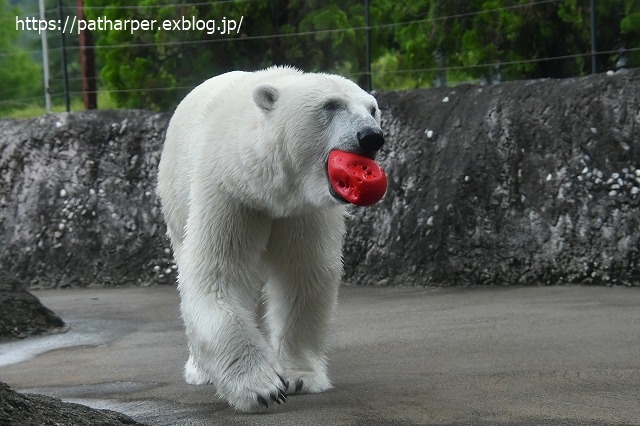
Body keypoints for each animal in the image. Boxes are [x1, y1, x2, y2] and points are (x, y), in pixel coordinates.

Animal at [158, 66, 388, 412]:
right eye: (331, 105)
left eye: (372, 108)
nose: (371, 137)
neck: (268, 189)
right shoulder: (229, 191)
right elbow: (217, 275)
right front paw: (261, 388)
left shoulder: (302, 212)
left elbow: (303, 275)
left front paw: (298, 377)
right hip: (175, 191)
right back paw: (200, 370)